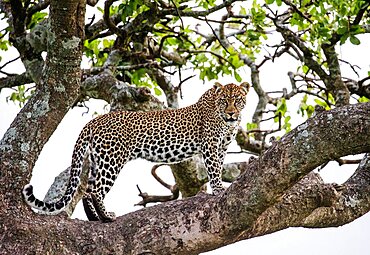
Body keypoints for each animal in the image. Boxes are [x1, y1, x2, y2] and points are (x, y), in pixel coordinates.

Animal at [21, 81, 250, 221]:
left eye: (238, 101)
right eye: (224, 101)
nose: (231, 113)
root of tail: (94, 121)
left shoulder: (222, 148)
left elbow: (218, 167)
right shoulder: (210, 146)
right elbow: (214, 170)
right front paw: (219, 189)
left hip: (98, 160)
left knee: (87, 189)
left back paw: (95, 219)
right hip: (111, 160)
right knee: (96, 190)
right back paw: (106, 216)